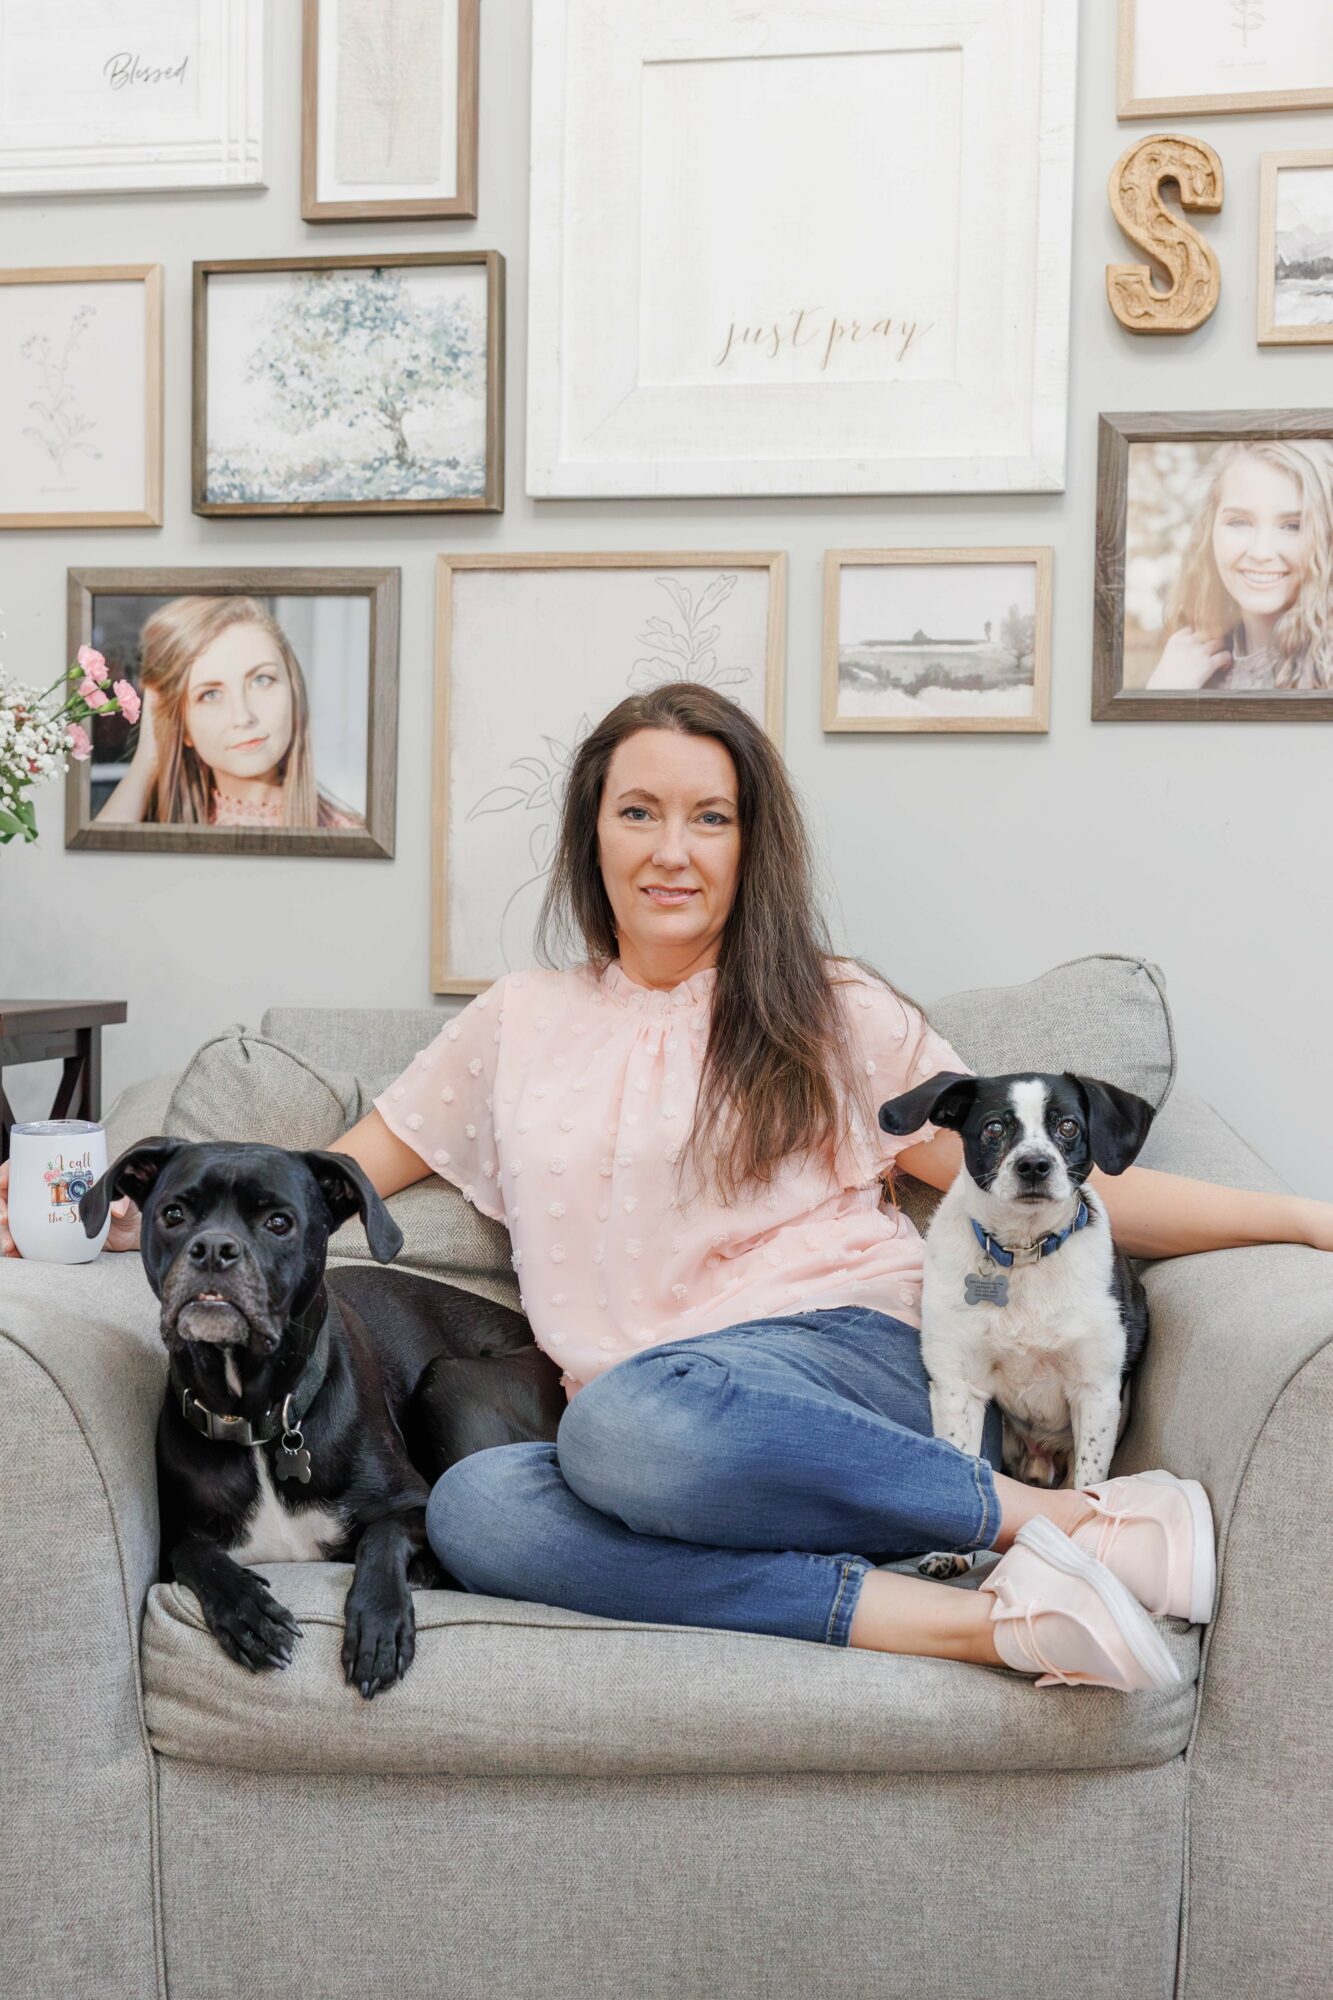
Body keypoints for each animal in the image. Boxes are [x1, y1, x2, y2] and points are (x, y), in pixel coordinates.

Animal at [80, 1137, 565, 1698]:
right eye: (173, 1214)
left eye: (279, 1222)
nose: (214, 1249)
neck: (256, 1420)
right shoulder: (175, 1541)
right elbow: (197, 1555)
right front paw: (247, 1611)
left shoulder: (422, 1503)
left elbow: (381, 1536)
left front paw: (379, 1624)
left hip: (450, 1382)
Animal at [877, 1071, 1154, 1574]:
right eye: (994, 1128)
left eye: (1067, 1126)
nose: (1033, 1166)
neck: (1023, 1253)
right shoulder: (957, 1387)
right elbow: (961, 1473)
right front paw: (949, 1552)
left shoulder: (1096, 1391)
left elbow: (1088, 1484)